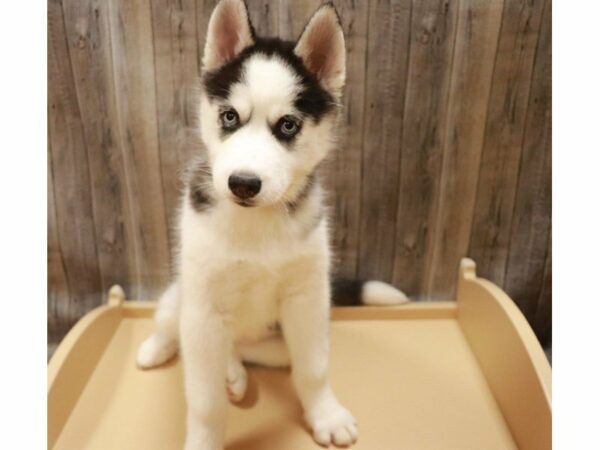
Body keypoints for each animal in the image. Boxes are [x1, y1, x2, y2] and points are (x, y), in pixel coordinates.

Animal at [136, 1, 408, 448]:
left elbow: (313, 369)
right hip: (183, 299)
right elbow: (205, 401)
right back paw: (159, 350)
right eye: (230, 116)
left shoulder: (307, 300)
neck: (255, 225)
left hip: (284, 336)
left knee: (250, 352)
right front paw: (205, 437)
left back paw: (234, 372)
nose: (244, 184)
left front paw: (325, 414)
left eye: (288, 125)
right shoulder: (203, 304)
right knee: (172, 325)